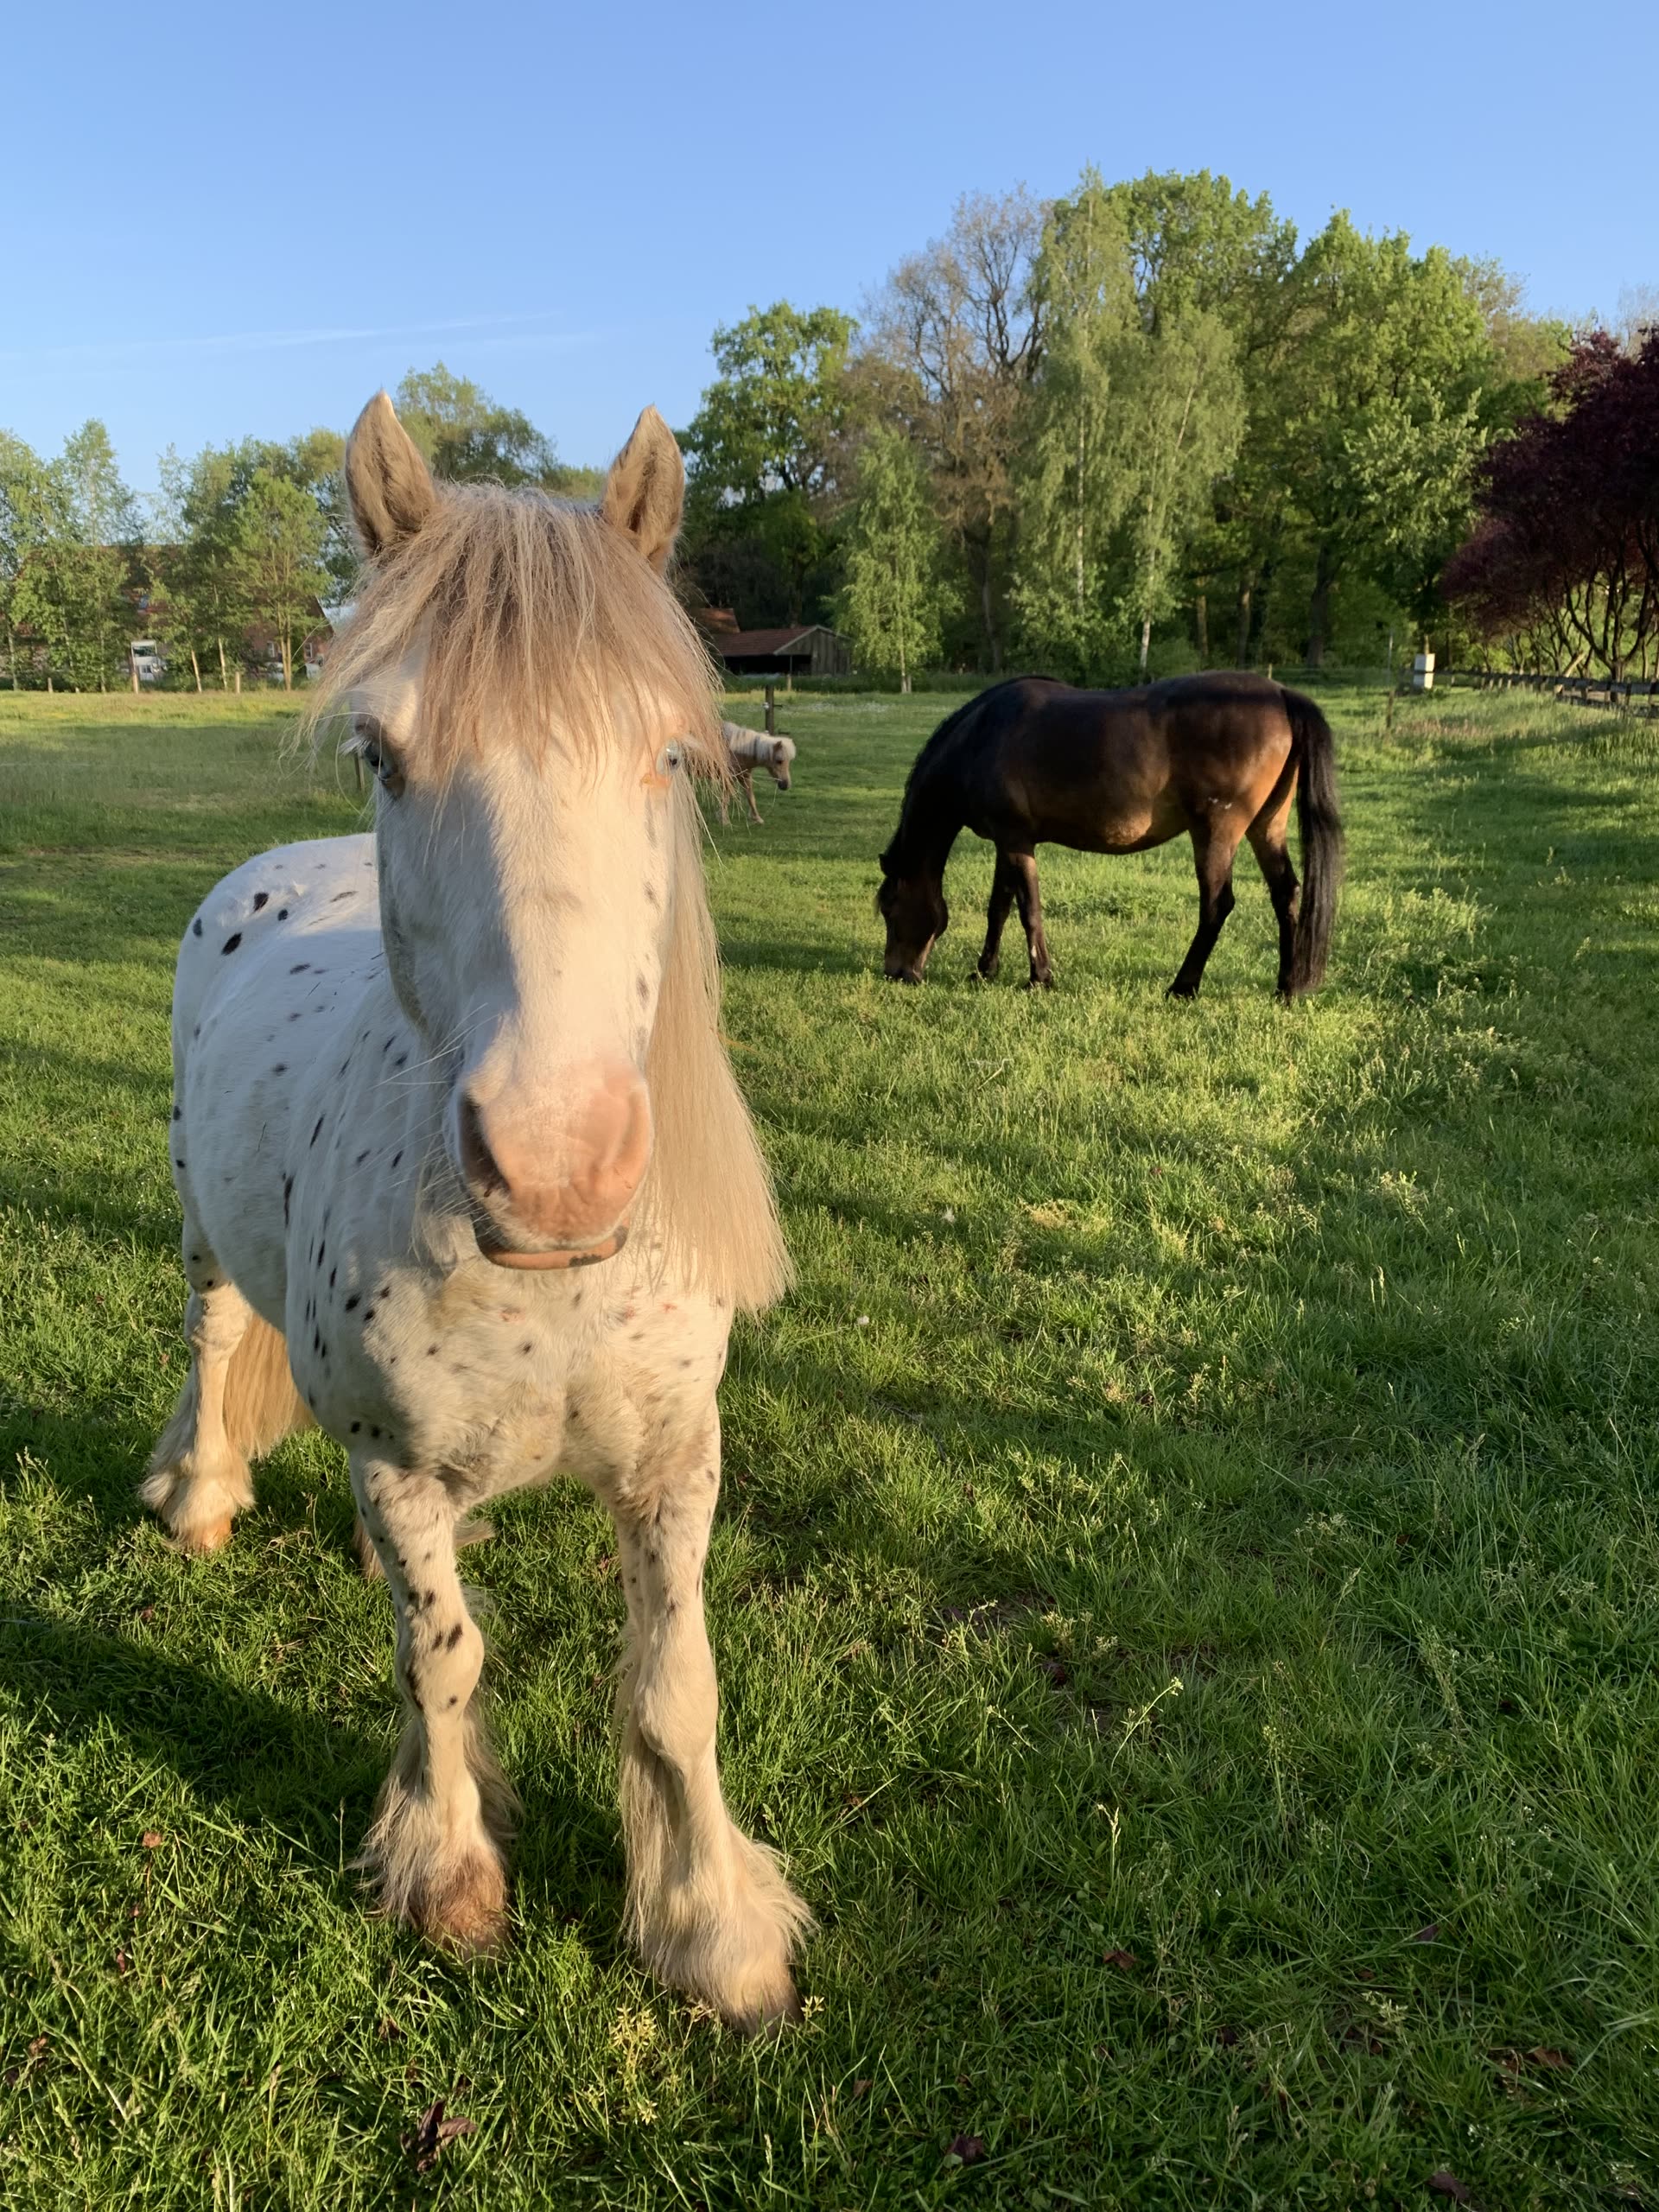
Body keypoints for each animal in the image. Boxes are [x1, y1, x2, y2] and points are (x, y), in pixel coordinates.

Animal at [140, 392, 809, 2030]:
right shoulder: (396, 1468)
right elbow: (440, 1659)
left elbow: (673, 1692)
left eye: (672, 756)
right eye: (382, 752)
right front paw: (446, 1874)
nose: (558, 1164)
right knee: (210, 1340)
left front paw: (712, 1928)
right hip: (198, 1223)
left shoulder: (677, 1464)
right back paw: (198, 1494)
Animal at [876, 672, 1343, 999]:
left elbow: (1029, 910)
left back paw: (1183, 987)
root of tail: (1280, 694)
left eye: (888, 906)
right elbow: (999, 909)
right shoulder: (1006, 843)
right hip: (1266, 827)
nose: (897, 973)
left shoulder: (1016, 841)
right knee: (1286, 894)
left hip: (1217, 832)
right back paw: (1286, 987)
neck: (981, 739)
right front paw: (983, 971)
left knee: (1216, 906)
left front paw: (1039, 978)